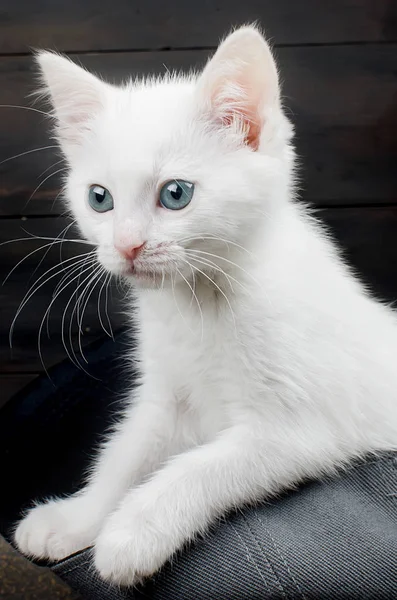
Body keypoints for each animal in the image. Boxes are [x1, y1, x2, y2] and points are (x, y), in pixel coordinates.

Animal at [13, 25, 396, 584]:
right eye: (99, 198)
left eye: (175, 194)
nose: (126, 246)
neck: (199, 304)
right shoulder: (167, 397)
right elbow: (124, 453)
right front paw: (79, 516)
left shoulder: (302, 429)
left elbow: (202, 468)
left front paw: (131, 533)